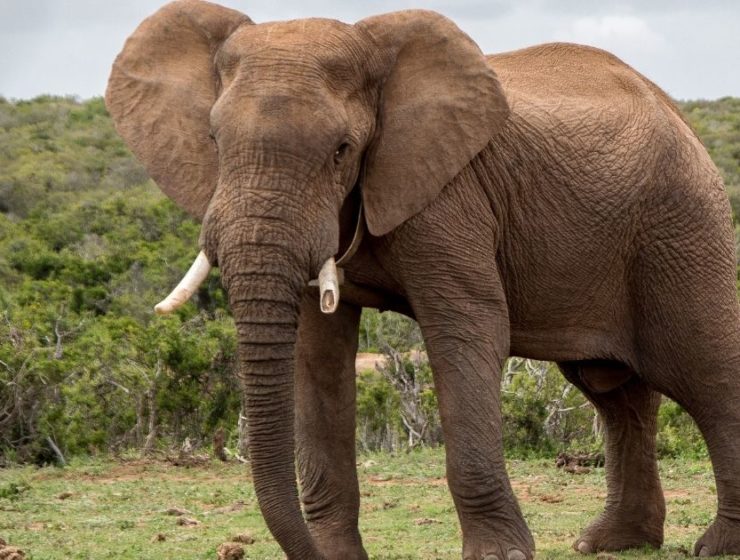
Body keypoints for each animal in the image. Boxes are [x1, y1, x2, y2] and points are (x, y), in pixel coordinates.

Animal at [105, 1, 740, 559]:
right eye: (214, 142)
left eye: (342, 150)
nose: (305, 553)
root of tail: (679, 115)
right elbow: (317, 353)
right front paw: (334, 555)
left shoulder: (450, 196)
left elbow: (468, 329)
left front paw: (501, 555)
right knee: (614, 392)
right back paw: (611, 544)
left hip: (680, 227)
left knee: (705, 372)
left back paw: (716, 546)